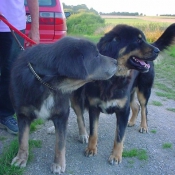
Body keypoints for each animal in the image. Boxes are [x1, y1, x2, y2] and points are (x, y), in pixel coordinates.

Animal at [9, 36, 117, 173]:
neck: (46, 84)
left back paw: (83, 134)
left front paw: (58, 164)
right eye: (96, 55)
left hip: (75, 100)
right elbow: (22, 139)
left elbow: (60, 143)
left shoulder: (62, 114)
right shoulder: (23, 115)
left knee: (80, 117)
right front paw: (21, 158)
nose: (116, 61)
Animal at [71, 23, 175, 165]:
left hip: (143, 91)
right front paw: (91, 149)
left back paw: (143, 126)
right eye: (138, 40)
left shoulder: (122, 110)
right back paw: (131, 122)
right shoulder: (94, 108)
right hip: (130, 95)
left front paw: (115, 156)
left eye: (143, 39)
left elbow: (119, 136)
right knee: (136, 107)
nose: (157, 51)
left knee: (144, 108)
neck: (112, 79)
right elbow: (93, 132)